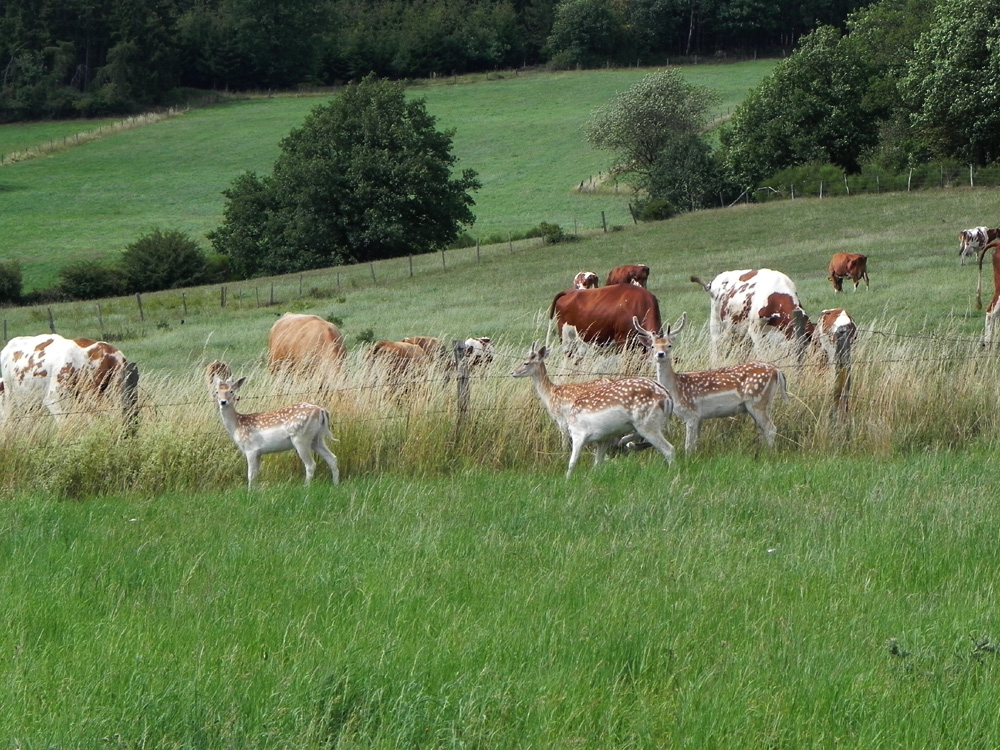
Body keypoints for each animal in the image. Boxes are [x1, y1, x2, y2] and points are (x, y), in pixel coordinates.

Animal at [211, 374, 340, 490]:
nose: (223, 402)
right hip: (316, 437)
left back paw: (306, 489)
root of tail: (321, 410)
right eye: (217, 392)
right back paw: (335, 485)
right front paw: (255, 492)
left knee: (310, 464)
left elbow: (250, 475)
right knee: (332, 458)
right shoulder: (259, 452)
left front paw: (249, 494)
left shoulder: (251, 449)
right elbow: (256, 474)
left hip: (300, 437)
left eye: (231, 391)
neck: (237, 425)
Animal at [512, 344, 676, 478]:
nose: (513, 372)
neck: (550, 394)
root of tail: (668, 397)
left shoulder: (562, 421)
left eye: (526, 362)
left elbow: (566, 446)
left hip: (646, 422)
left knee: (667, 448)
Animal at [632, 316, 788, 456]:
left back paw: (769, 454)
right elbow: (695, 443)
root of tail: (777, 371)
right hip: (762, 403)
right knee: (763, 429)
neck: (676, 388)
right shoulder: (699, 418)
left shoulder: (691, 414)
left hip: (757, 401)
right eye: (652, 346)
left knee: (770, 428)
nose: (660, 354)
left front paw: (687, 461)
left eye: (669, 345)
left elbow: (688, 446)